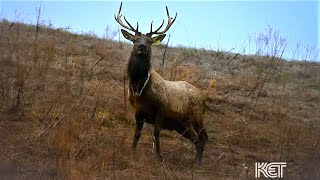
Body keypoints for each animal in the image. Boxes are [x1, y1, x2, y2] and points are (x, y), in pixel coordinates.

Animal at [115, 2, 208, 165]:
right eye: (135, 39)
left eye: (150, 41)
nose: (142, 46)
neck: (141, 90)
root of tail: (203, 97)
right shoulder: (138, 111)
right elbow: (137, 133)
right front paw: (132, 151)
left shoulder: (162, 108)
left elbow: (156, 133)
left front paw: (159, 156)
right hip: (181, 124)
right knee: (196, 139)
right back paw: (195, 161)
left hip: (197, 115)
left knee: (203, 138)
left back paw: (198, 162)